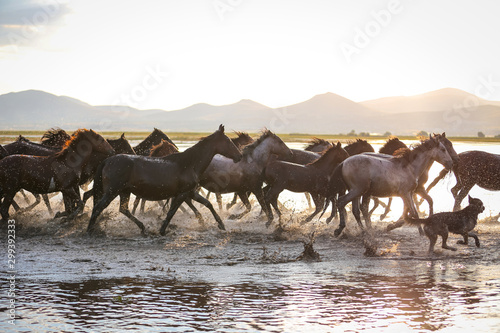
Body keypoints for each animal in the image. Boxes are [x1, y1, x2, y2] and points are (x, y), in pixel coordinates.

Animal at [86, 123, 242, 235]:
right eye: (228, 141)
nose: (239, 156)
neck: (189, 163)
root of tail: (107, 161)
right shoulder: (182, 194)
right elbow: (171, 212)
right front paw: (162, 230)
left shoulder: (190, 192)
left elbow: (208, 204)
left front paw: (221, 224)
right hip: (112, 191)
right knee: (99, 207)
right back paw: (89, 230)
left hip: (124, 191)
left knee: (123, 210)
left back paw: (142, 228)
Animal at [326, 135, 456, 236]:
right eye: (443, 149)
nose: (451, 163)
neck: (409, 167)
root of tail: (343, 162)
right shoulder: (405, 194)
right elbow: (413, 212)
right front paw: (421, 233)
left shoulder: (410, 193)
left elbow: (413, 211)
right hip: (358, 190)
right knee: (342, 202)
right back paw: (340, 229)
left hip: (357, 191)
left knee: (356, 210)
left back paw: (365, 230)